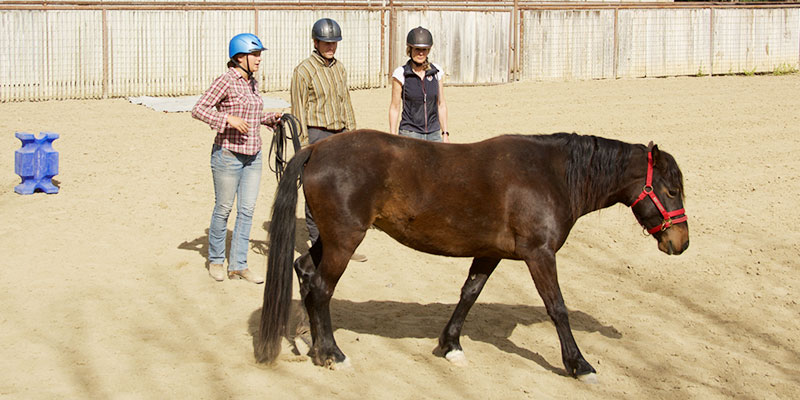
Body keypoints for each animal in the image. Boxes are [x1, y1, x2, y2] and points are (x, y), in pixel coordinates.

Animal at [256, 131, 688, 382]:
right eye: (670, 190)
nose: (680, 242)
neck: (550, 175)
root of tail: (316, 148)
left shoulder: (489, 254)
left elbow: (469, 294)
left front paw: (450, 345)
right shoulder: (539, 255)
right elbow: (557, 308)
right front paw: (578, 364)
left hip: (332, 239)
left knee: (305, 273)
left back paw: (313, 348)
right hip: (345, 241)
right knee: (321, 289)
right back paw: (333, 353)